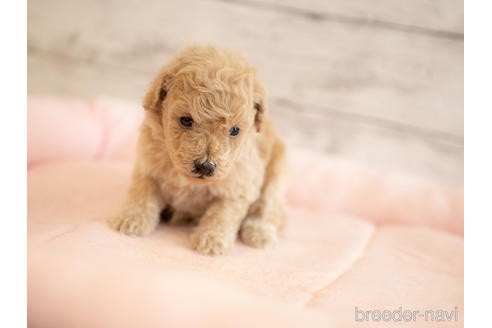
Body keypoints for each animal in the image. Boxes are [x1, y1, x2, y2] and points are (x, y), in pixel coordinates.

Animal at [107, 44, 284, 255]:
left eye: (234, 130)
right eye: (185, 120)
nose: (205, 167)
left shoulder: (240, 184)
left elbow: (223, 213)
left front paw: (211, 240)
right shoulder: (147, 163)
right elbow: (143, 192)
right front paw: (132, 219)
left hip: (278, 171)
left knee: (268, 205)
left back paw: (260, 233)